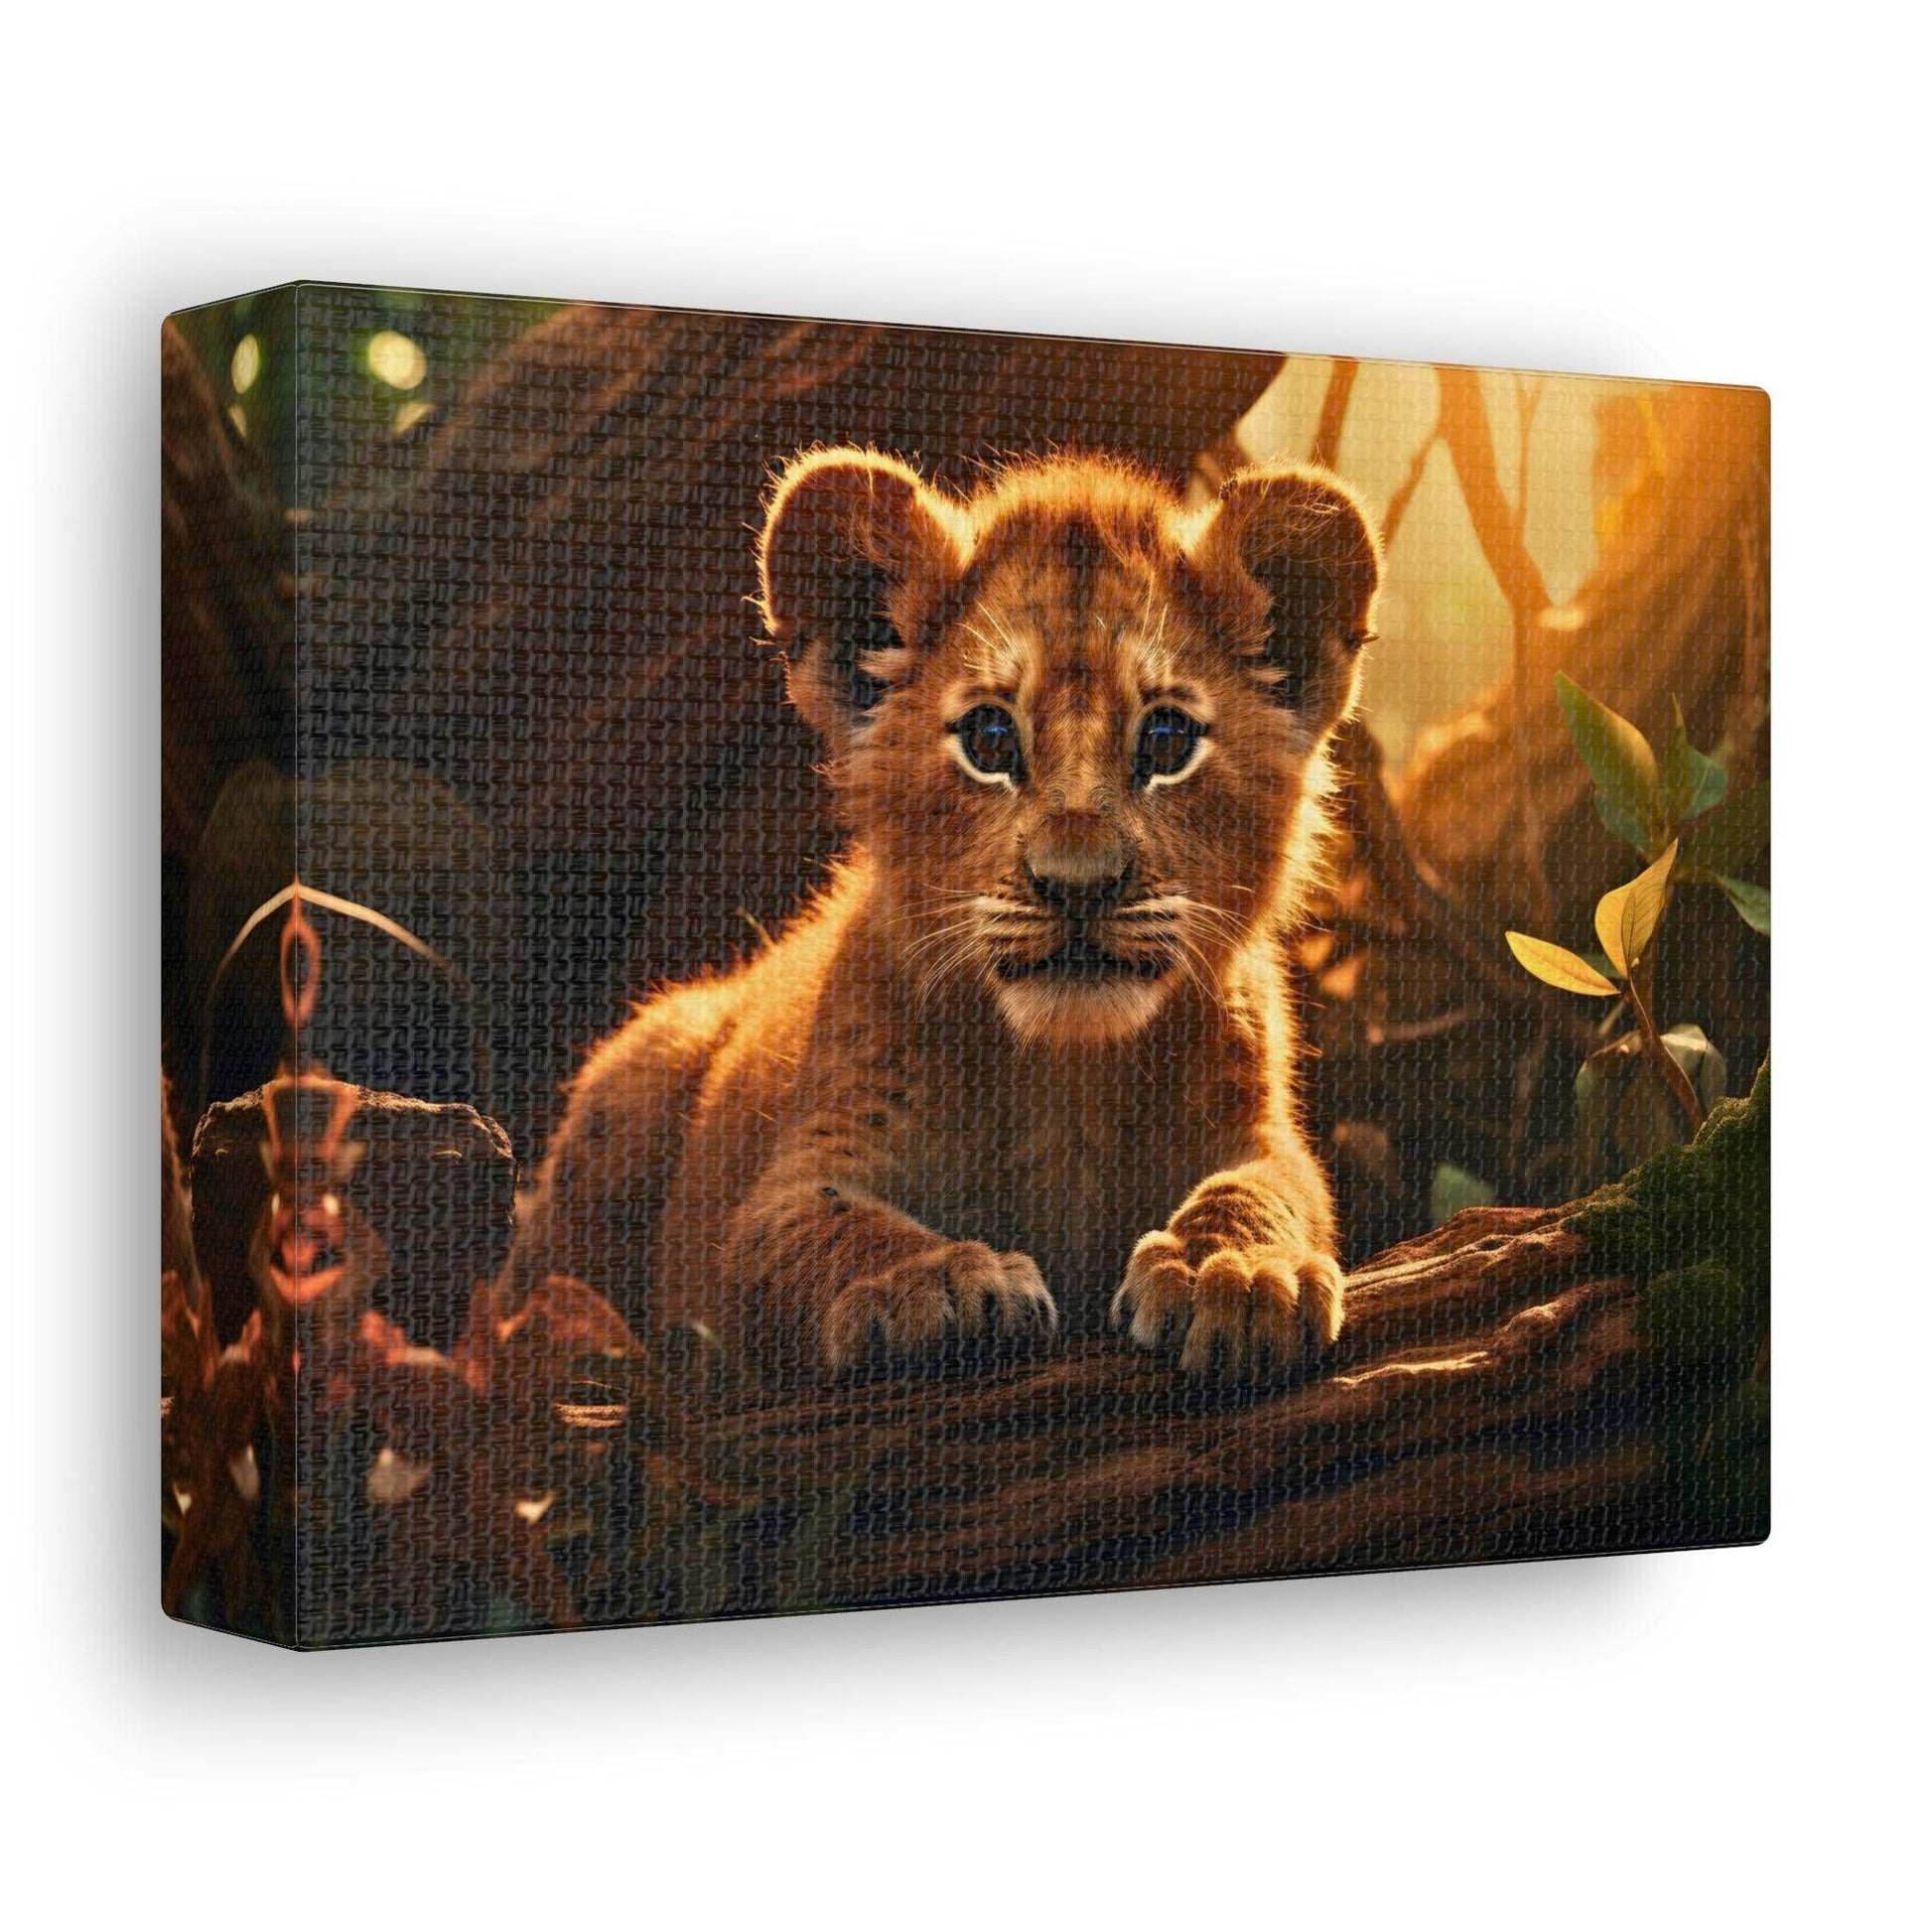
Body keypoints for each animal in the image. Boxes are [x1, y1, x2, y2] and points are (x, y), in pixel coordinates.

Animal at [501, 448, 1383, 1380]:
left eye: (1168, 740)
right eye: (990, 740)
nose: (1079, 884)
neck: (1062, 1078)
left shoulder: (1260, 1133)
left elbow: (1262, 1189)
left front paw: (1238, 1270)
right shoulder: (790, 1180)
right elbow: (830, 1227)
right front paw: (939, 1281)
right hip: (638, 1073)